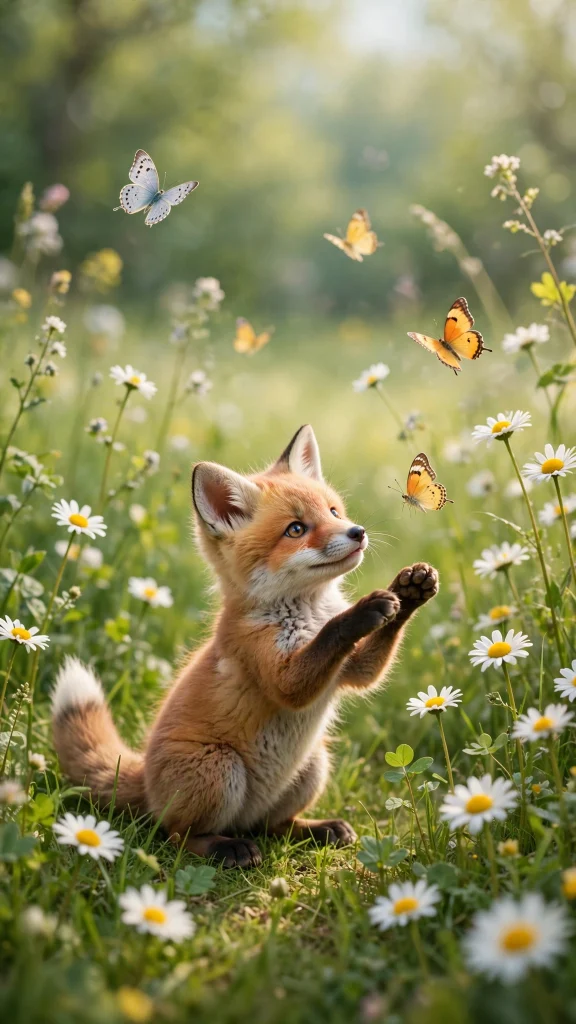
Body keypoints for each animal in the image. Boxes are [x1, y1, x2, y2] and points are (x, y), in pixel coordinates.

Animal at [52, 425, 439, 868]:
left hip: (313, 765)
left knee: (274, 827)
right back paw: (226, 848)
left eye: (334, 512)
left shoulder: (348, 670)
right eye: (295, 529)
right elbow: (327, 640)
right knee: (176, 836)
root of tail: (147, 782)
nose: (357, 532)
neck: (305, 610)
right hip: (220, 769)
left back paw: (316, 829)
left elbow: (368, 669)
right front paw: (363, 610)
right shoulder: (271, 665)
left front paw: (410, 590)